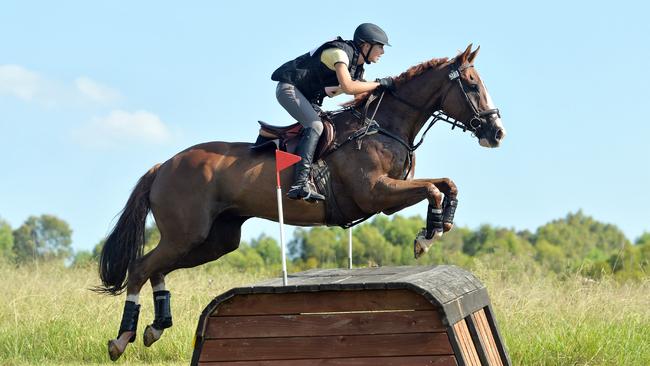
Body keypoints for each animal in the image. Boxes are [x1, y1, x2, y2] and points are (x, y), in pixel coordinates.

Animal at [96, 45, 504, 360]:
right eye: (472, 85)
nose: (496, 133)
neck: (382, 126)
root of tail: (163, 166)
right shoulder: (377, 194)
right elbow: (433, 189)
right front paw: (426, 236)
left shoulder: (390, 193)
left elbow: (446, 184)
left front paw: (442, 224)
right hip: (188, 234)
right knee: (140, 267)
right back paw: (122, 339)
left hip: (214, 241)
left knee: (157, 269)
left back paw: (156, 328)